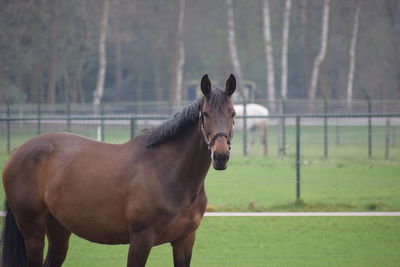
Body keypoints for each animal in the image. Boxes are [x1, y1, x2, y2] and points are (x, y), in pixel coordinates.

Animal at [0, 74, 238, 266]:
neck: (167, 173)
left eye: (233, 114)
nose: (220, 156)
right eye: (205, 114)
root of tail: (19, 151)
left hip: (58, 229)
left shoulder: (184, 240)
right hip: (32, 232)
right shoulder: (141, 240)